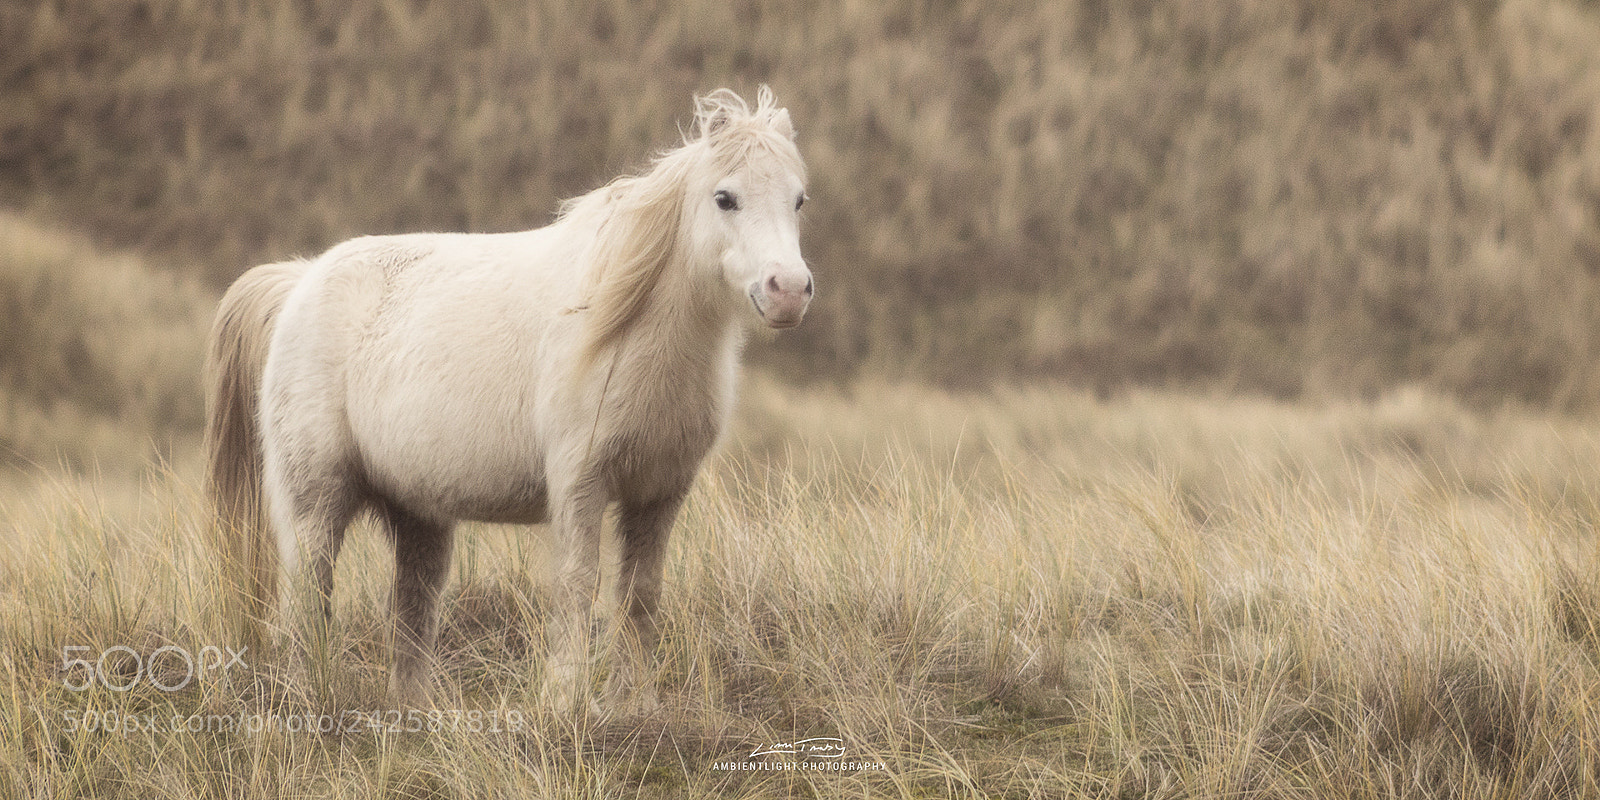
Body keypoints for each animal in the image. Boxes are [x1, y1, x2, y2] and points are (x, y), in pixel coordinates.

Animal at [203, 87, 811, 712]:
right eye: (725, 198)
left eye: (798, 200)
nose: (788, 291)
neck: (627, 330)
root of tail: (299, 283)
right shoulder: (579, 484)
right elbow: (578, 584)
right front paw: (565, 698)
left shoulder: (660, 493)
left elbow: (640, 594)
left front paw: (635, 704)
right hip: (316, 500)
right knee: (309, 592)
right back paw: (307, 697)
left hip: (419, 514)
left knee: (413, 606)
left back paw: (415, 708)